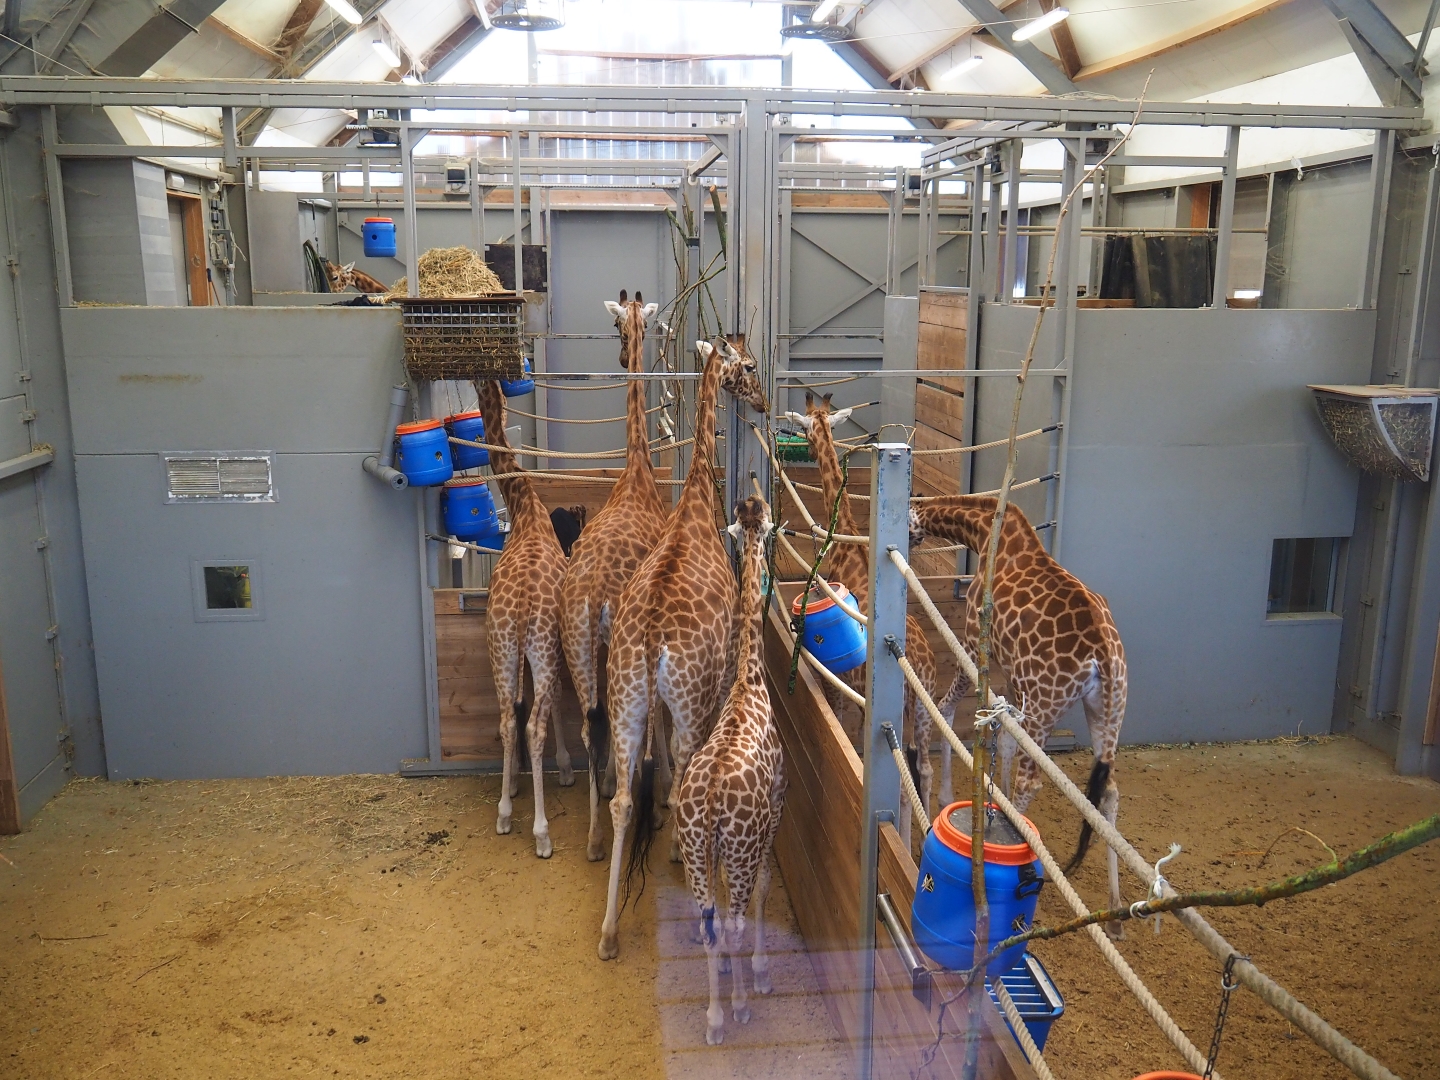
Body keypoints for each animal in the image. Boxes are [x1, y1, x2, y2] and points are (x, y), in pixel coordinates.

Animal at [596, 337, 769, 961]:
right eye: (748, 365)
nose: (763, 401)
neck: (693, 498)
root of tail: (649, 639)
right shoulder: (715, 677)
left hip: (624, 694)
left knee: (623, 799)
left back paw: (608, 934)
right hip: (690, 700)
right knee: (688, 761)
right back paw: (674, 852)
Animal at [783, 392, 940, 847]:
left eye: (803, 428)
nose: (801, 443)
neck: (847, 541)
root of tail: (919, 663)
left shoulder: (841, 684)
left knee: (903, 785)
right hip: (924, 709)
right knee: (923, 771)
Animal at [909, 496, 1127, 925]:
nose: (912, 539)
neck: (985, 532)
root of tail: (1104, 654)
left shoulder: (975, 640)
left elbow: (949, 709)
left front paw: (946, 797)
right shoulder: (1013, 673)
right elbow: (1006, 738)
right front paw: (1000, 800)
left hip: (1048, 700)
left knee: (1032, 781)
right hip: (1108, 708)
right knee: (1109, 789)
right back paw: (1114, 910)